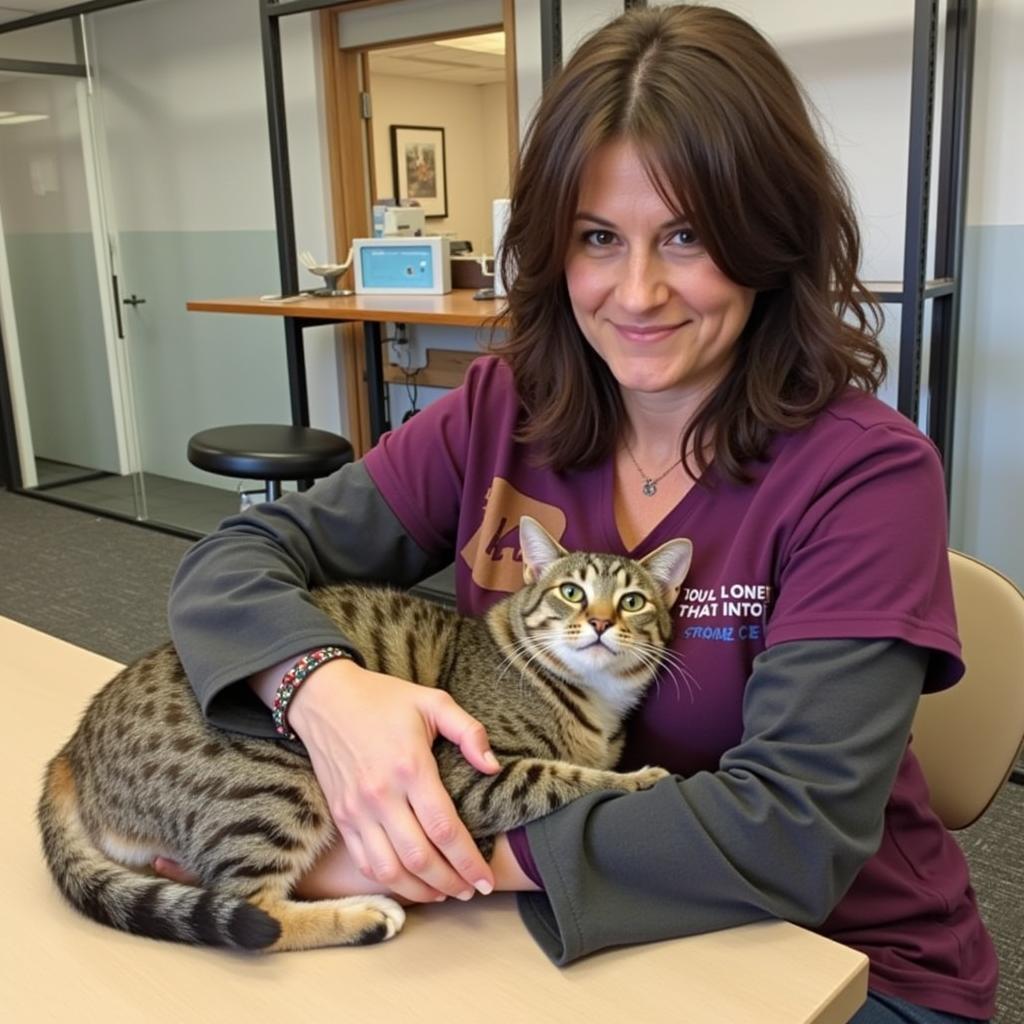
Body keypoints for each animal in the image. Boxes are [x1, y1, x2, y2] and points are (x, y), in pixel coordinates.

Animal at [41, 516, 696, 954]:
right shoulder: (470, 775)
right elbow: (565, 776)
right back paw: (363, 916)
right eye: (571, 591)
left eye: (632, 601)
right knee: (254, 912)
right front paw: (639, 778)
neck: (593, 698)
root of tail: (69, 753)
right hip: (274, 780)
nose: (602, 622)